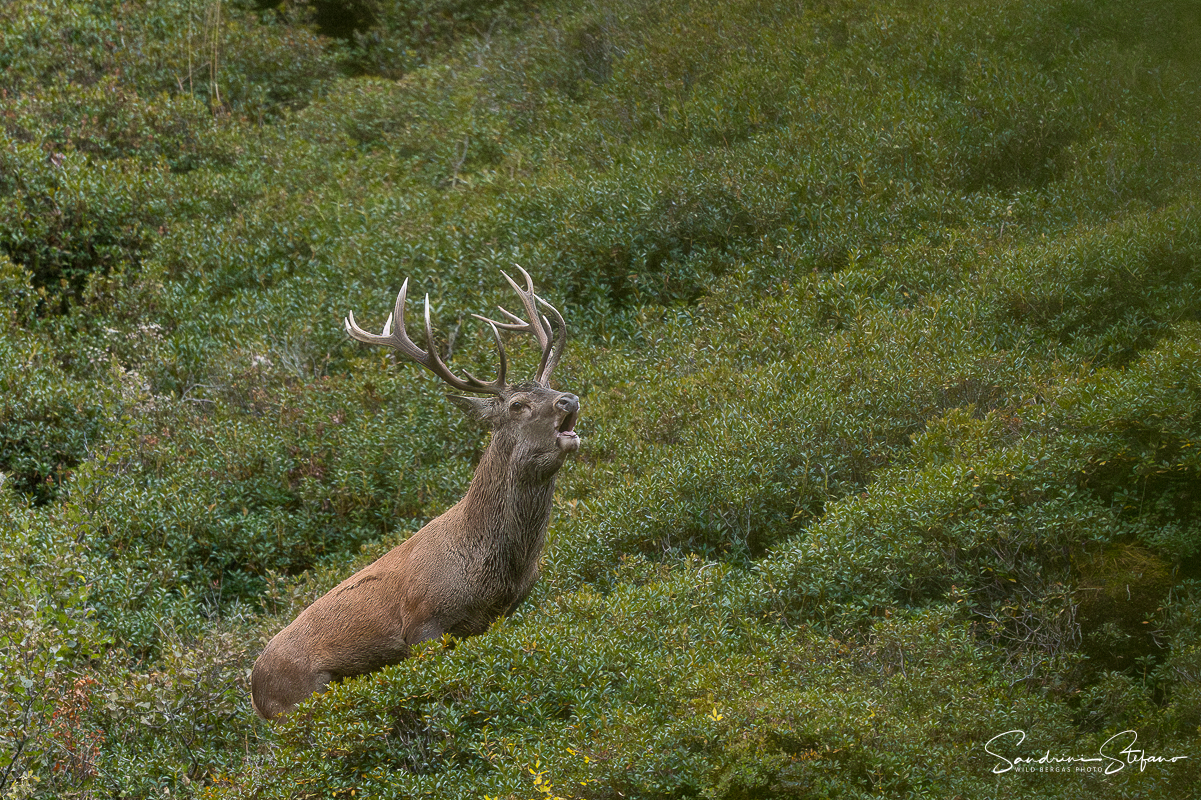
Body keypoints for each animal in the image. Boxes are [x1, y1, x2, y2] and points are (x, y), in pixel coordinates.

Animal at [250, 268, 580, 720]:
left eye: (550, 386)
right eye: (516, 404)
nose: (570, 399)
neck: (495, 566)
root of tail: (253, 687)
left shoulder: (496, 618)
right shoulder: (424, 623)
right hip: (297, 702)